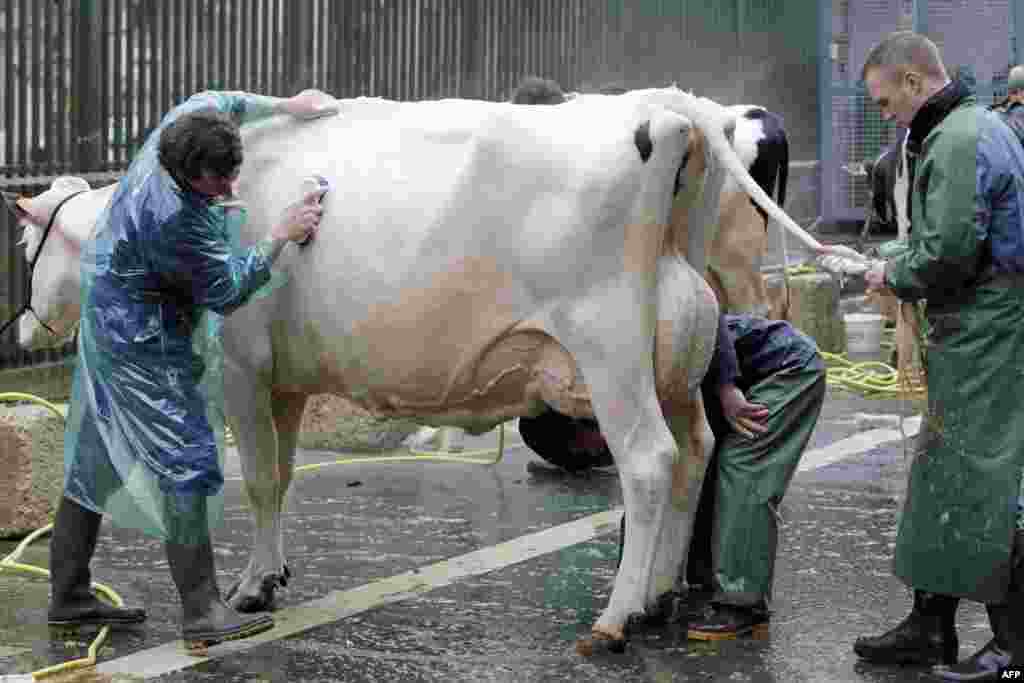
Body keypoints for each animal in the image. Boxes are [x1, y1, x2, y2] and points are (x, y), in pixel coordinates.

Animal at [4, 88, 843, 655]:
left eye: (24, 252)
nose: (21, 326)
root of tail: (666, 110)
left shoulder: (242, 367)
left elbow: (257, 478)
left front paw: (246, 587)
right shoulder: (285, 378)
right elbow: (278, 476)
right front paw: (271, 574)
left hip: (609, 350)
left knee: (648, 462)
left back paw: (613, 618)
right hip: (680, 348)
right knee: (696, 448)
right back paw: (660, 594)